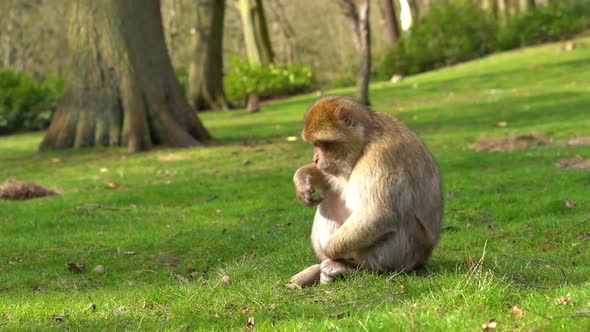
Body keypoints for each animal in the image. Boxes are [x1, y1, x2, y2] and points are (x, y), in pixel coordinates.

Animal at [292, 96, 444, 288]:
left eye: (322, 144)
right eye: (315, 145)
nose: (315, 159)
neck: (366, 140)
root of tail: (423, 260)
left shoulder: (381, 157)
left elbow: (379, 214)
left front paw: (325, 251)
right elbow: (332, 180)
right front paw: (302, 179)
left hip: (404, 256)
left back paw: (350, 266)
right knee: (330, 197)